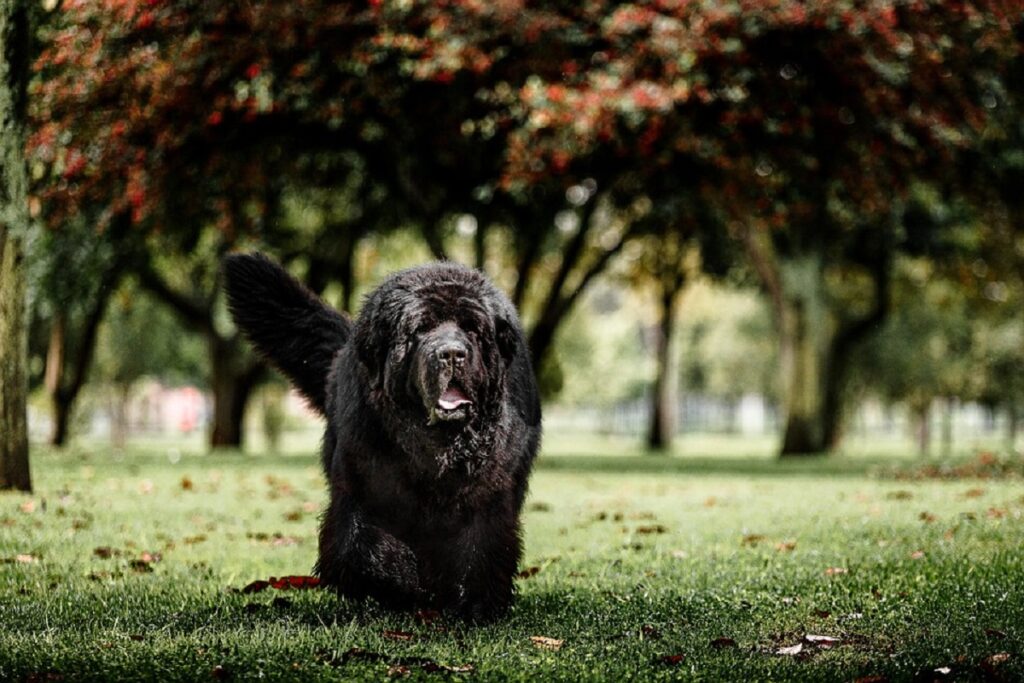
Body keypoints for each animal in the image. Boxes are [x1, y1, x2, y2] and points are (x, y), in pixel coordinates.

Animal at [224, 253, 544, 622]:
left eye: (473, 330)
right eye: (420, 329)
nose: (451, 353)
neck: (437, 445)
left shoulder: (488, 493)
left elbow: (481, 546)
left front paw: (475, 604)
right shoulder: (362, 481)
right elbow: (362, 543)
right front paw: (397, 582)